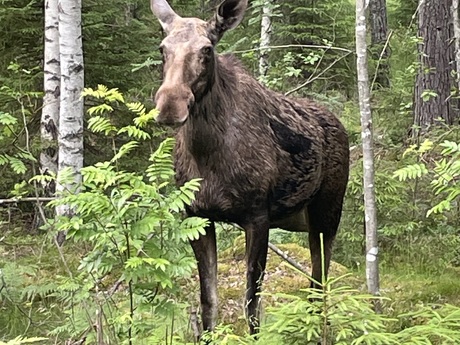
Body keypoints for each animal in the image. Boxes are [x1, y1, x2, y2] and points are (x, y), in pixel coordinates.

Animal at [150, 0, 348, 334]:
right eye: (163, 48)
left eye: (207, 49)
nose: (170, 105)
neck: (206, 153)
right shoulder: (198, 216)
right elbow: (209, 302)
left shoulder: (257, 217)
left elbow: (252, 304)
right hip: (300, 218)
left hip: (327, 214)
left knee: (319, 285)